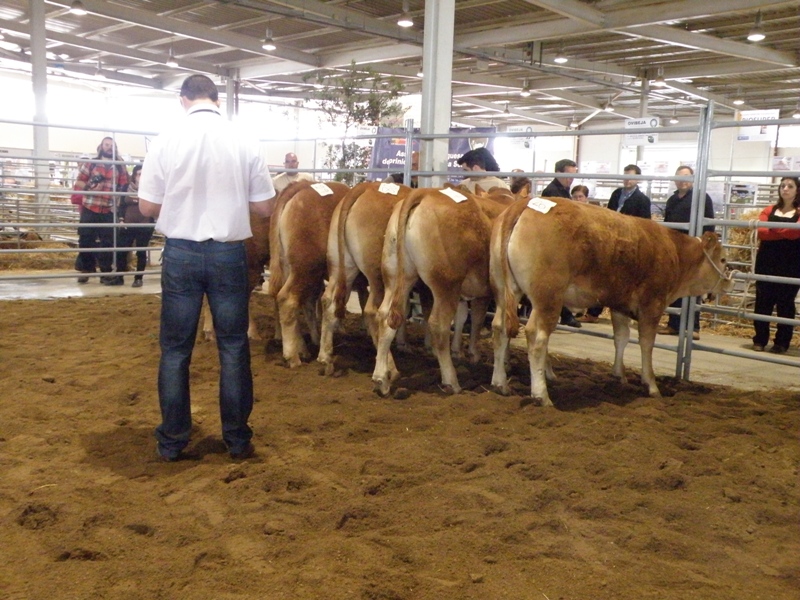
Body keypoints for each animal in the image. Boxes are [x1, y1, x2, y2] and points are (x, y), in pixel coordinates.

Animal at [268, 180, 350, 367]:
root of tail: (302, 185)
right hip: (305, 267)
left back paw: (303, 349)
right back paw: (293, 357)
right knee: (288, 299)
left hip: (289, 267)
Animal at [489, 196, 733, 406]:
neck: (673, 252)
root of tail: (522, 205)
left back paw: (500, 383)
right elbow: (646, 344)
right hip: (547, 298)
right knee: (537, 337)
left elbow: (621, 338)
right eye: (722, 259)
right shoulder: (652, 304)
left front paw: (619, 375)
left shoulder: (620, 305)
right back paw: (541, 395)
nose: (728, 283)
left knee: (499, 327)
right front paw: (651, 385)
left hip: (503, 291)